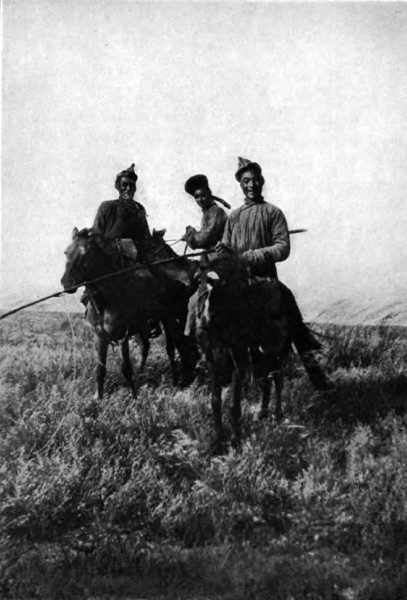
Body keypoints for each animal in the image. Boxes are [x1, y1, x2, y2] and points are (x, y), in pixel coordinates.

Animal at [61, 226, 199, 398]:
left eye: (87, 253)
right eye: (66, 252)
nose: (67, 283)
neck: (106, 301)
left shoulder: (122, 337)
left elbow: (126, 368)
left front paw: (134, 397)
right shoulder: (99, 337)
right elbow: (100, 369)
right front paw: (98, 397)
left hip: (169, 319)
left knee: (173, 349)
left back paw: (177, 381)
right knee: (148, 346)